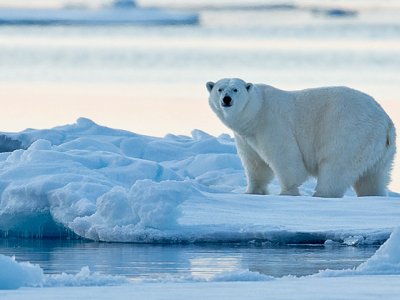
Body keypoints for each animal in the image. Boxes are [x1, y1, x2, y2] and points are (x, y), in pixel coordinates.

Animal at [208, 78, 396, 198]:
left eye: (235, 89)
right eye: (219, 89)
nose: (226, 99)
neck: (256, 110)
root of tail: (386, 122)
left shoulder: (271, 123)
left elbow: (285, 157)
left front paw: (286, 192)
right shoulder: (246, 137)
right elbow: (255, 164)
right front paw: (252, 191)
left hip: (350, 133)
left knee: (335, 167)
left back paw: (321, 194)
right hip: (378, 149)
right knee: (373, 177)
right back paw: (374, 195)